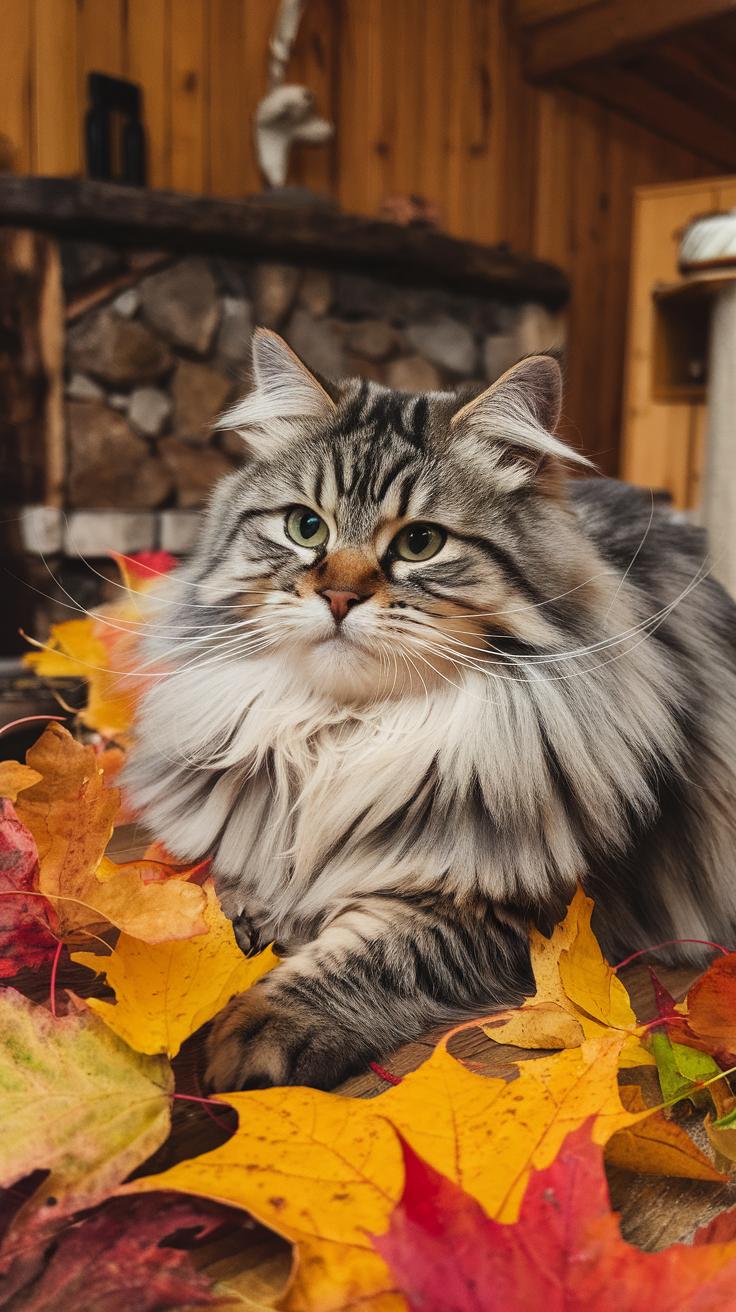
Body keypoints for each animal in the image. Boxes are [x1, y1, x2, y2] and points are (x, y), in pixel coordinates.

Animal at [123, 330, 734, 1096]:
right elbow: (221, 890)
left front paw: (256, 1029)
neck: (345, 734)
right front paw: (231, 931)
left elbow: (370, 956)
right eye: (305, 528)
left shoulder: (520, 911)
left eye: (420, 543)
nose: (338, 596)